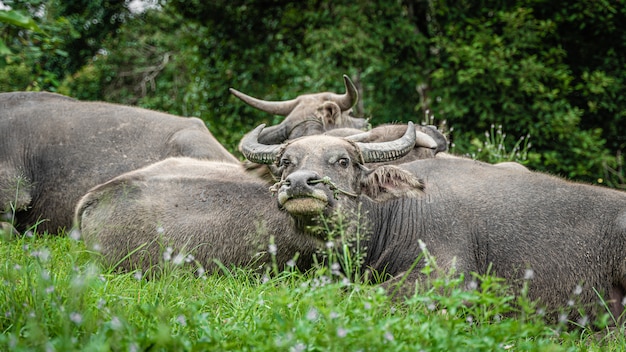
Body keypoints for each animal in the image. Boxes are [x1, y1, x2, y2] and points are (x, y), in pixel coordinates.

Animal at [239, 124, 624, 324]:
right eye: (286, 163)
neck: (397, 213)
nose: (300, 183)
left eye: (343, 161)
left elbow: (369, 294)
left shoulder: (449, 277)